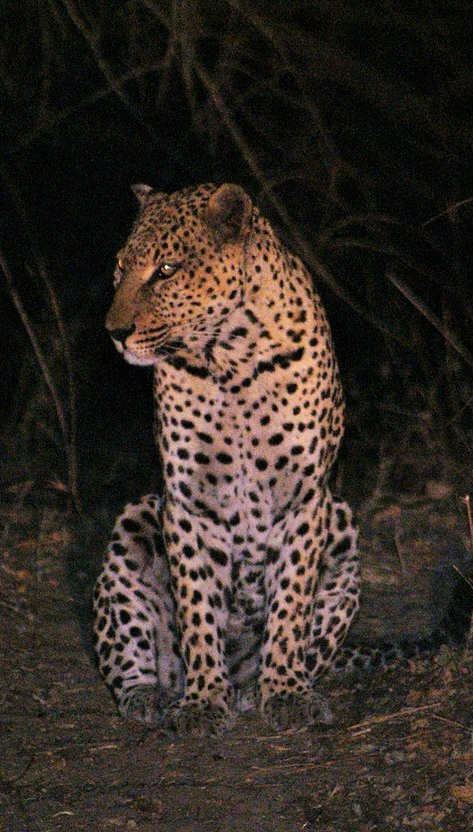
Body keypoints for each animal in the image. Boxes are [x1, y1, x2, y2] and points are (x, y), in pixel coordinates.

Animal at [93, 181, 362, 736]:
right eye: (120, 268)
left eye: (166, 270)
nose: (114, 331)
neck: (230, 359)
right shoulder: (188, 503)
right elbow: (198, 608)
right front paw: (200, 700)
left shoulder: (305, 500)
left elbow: (291, 605)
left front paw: (286, 691)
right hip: (136, 519)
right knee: (128, 653)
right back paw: (154, 694)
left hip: (342, 523)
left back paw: (254, 687)